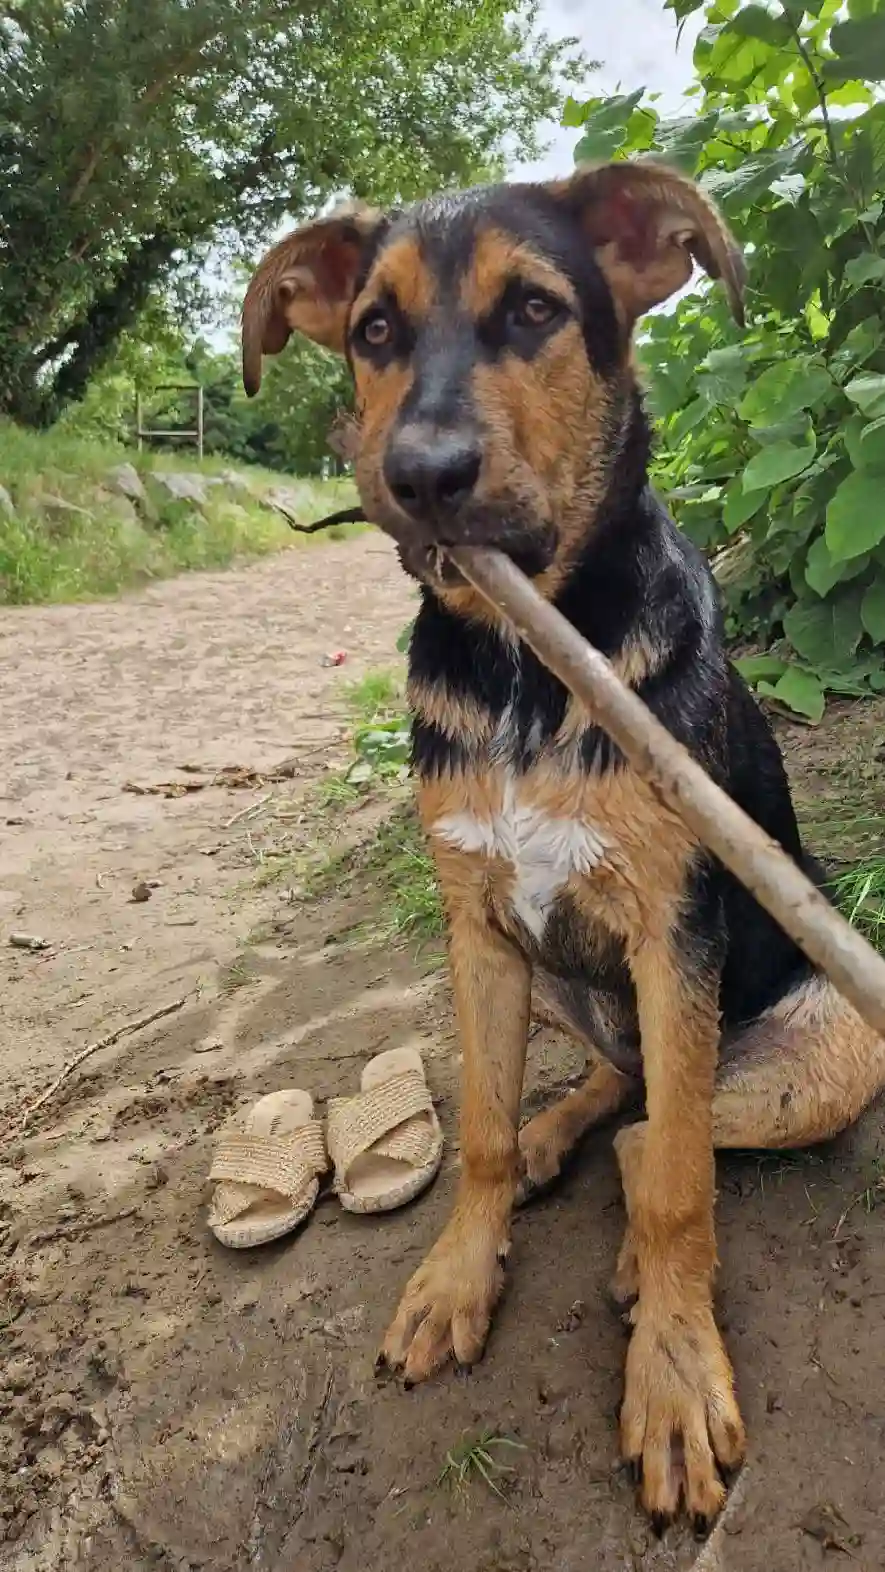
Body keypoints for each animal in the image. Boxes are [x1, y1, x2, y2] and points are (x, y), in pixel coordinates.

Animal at [242, 165, 885, 1527]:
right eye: (374, 331)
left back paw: (641, 1257)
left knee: (660, 1134)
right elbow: (481, 1127)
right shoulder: (477, 926)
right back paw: (554, 1138)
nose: (422, 477)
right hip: (557, 982)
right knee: (617, 1090)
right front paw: (458, 1272)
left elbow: (685, 1185)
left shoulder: (676, 928)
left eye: (535, 310)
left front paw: (677, 1376)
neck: (521, 663)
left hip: (830, 1041)